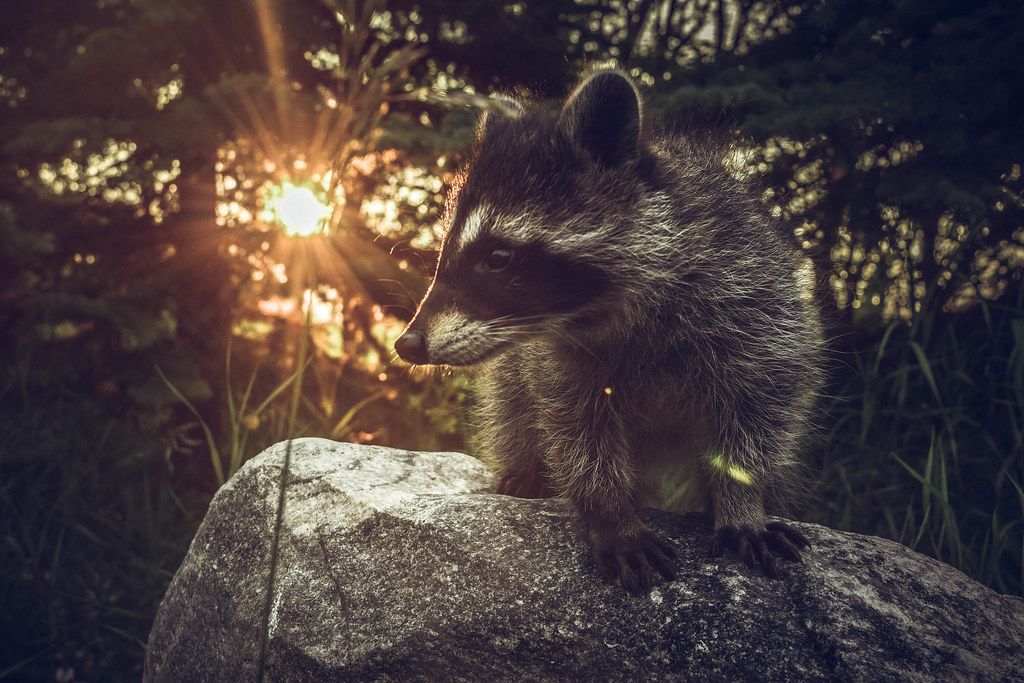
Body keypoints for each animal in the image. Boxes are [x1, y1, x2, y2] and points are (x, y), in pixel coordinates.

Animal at [393, 68, 823, 593]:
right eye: (446, 250)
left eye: (497, 257)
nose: (407, 343)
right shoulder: (557, 358)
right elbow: (577, 429)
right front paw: (610, 512)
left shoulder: (754, 303)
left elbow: (759, 409)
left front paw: (742, 503)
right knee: (512, 402)